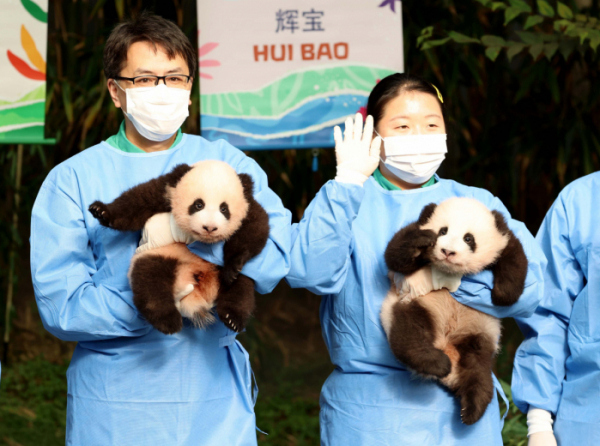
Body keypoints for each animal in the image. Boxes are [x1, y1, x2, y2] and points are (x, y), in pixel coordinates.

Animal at [88, 160, 268, 334]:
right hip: (161, 255)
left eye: (224, 209)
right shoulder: (167, 192)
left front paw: (233, 265)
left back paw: (232, 318)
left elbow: (256, 229)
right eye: (198, 205)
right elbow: (137, 202)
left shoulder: (249, 206)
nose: (209, 228)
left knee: (241, 290)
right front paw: (101, 211)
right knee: (150, 280)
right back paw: (168, 321)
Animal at [382, 198, 528, 426]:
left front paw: (502, 294)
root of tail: (446, 346)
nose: (447, 252)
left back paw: (472, 408)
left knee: (478, 370)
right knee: (410, 332)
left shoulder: (503, 240)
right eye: (443, 231)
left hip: (479, 332)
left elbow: (514, 258)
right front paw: (422, 240)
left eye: (469, 238)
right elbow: (395, 255)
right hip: (418, 305)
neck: (450, 272)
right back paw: (436, 363)